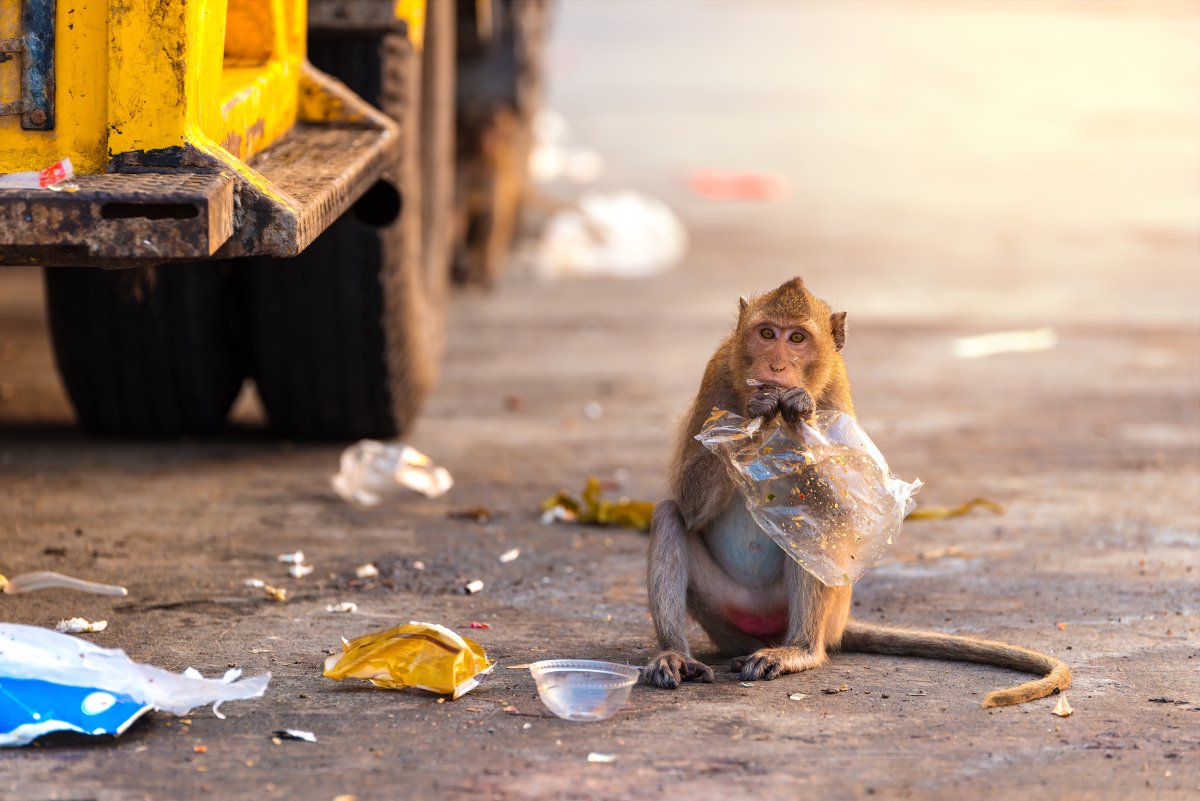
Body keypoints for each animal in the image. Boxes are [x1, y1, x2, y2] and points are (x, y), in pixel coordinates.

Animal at [643, 276, 1070, 708]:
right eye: (766, 334)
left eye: (796, 338)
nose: (776, 366)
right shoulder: (715, 373)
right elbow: (688, 504)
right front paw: (756, 411)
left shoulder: (836, 387)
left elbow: (847, 511)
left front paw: (800, 416)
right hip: (726, 617)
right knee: (669, 515)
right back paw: (675, 654)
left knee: (812, 528)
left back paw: (800, 652)